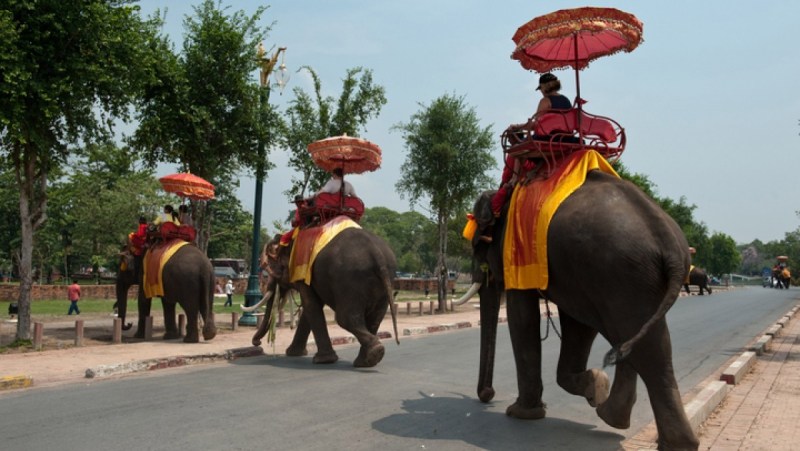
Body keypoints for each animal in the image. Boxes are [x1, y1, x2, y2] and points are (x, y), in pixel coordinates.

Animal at [242, 228, 396, 370]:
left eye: (270, 272)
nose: (257, 343)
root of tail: (377, 254)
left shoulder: (303, 272)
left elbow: (310, 304)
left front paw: (322, 360)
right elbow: (311, 306)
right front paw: (293, 353)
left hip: (349, 281)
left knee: (345, 319)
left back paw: (372, 354)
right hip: (384, 281)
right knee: (375, 319)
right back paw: (367, 360)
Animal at [462, 171, 700, 450]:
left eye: (478, 246)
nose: (487, 395)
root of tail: (670, 244)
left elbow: (522, 315)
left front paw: (521, 413)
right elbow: (577, 325)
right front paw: (595, 385)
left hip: (619, 274)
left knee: (635, 340)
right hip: (632, 279)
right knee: (639, 339)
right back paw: (626, 422)